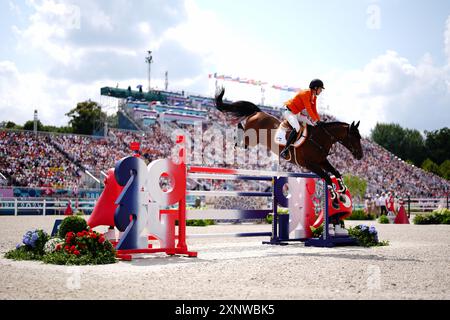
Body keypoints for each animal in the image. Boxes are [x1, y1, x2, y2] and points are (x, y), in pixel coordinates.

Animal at [213, 87, 364, 215]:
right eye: (354, 137)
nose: (360, 156)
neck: (320, 138)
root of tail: (258, 111)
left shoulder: (322, 161)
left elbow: (336, 172)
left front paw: (343, 192)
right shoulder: (310, 165)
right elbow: (327, 177)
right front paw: (336, 200)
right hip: (252, 138)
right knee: (242, 138)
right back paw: (235, 133)